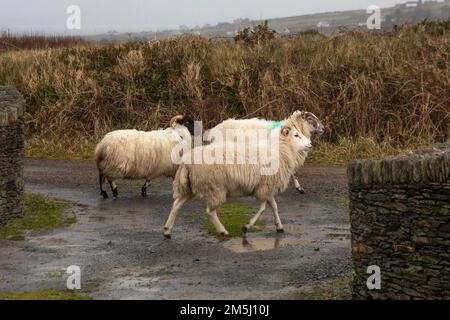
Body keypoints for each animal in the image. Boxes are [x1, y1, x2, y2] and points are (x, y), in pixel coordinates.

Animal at [163, 116, 312, 239]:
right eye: (296, 135)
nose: (310, 144)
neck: (279, 150)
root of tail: (186, 161)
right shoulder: (264, 186)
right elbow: (263, 208)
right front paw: (246, 227)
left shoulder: (266, 186)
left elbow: (274, 206)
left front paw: (279, 226)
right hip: (214, 187)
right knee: (210, 212)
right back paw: (223, 231)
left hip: (192, 186)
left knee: (176, 205)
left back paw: (167, 230)